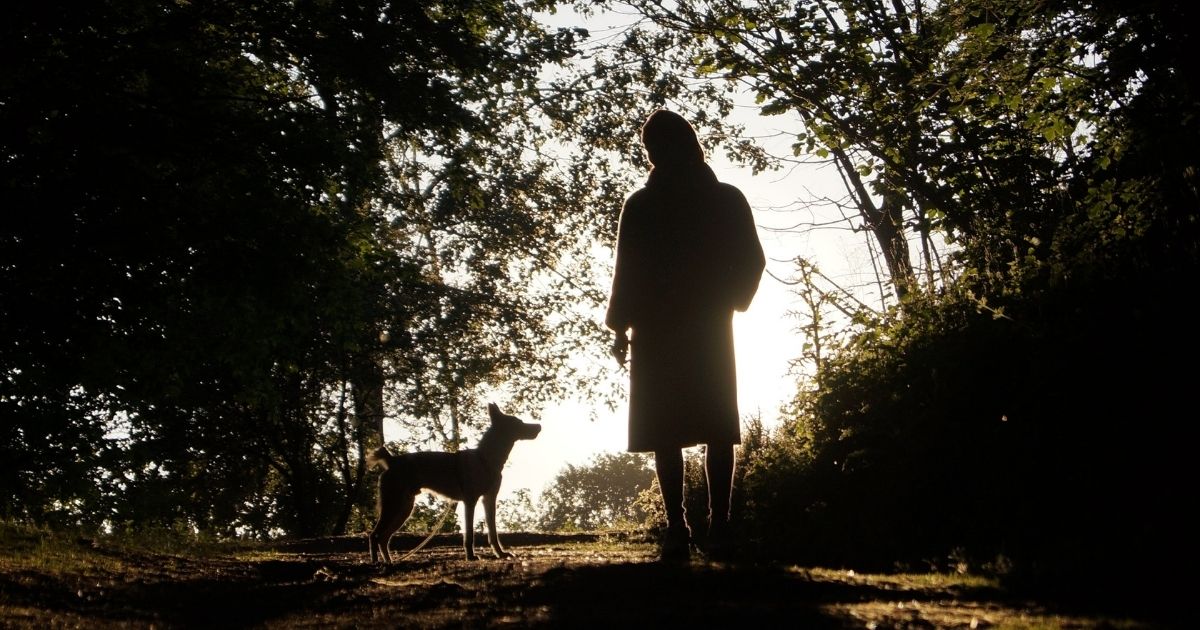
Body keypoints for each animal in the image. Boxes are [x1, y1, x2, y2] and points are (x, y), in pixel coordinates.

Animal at [364, 403, 544, 559]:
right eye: (519, 423)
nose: (539, 426)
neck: (484, 459)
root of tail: (392, 460)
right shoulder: (470, 502)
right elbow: (469, 535)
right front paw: (470, 556)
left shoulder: (489, 500)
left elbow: (493, 533)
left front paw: (500, 554)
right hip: (393, 506)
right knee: (374, 536)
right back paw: (376, 563)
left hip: (403, 508)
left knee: (383, 538)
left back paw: (389, 562)